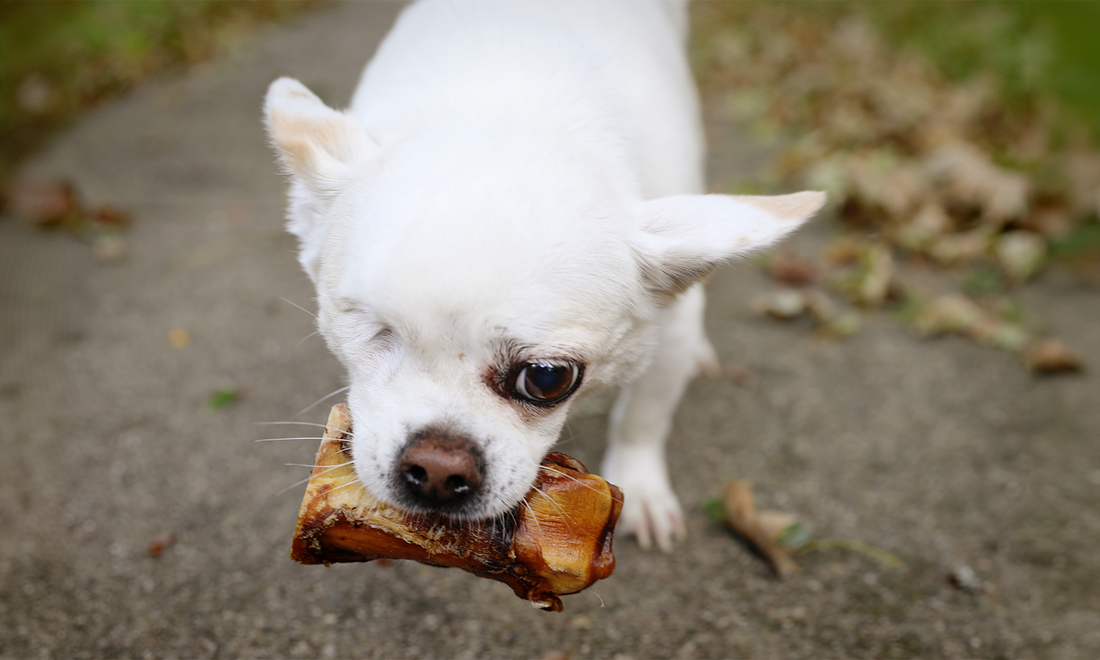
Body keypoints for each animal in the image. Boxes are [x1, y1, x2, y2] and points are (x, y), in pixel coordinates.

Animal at [261, 0, 822, 552]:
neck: (515, 109)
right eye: (371, 333)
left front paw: (640, 485)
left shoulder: (670, 328)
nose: (439, 467)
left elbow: (644, 415)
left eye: (548, 379)